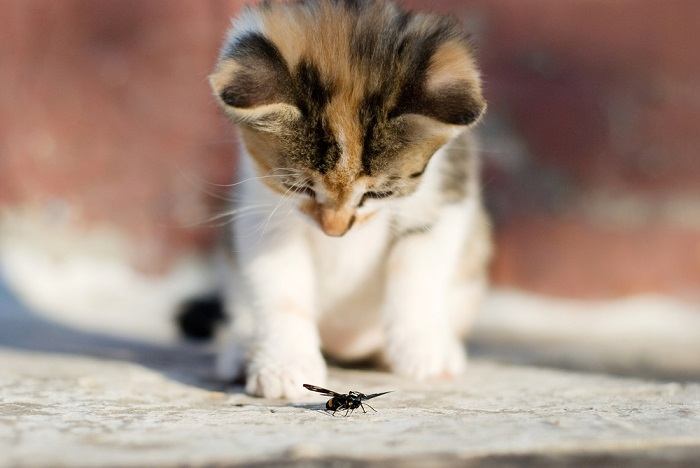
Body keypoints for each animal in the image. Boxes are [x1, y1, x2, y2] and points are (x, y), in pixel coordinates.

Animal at [211, 0, 490, 398]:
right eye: (302, 188)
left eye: (377, 193)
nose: (335, 230)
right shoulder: (259, 206)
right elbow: (280, 287)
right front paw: (284, 366)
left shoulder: (448, 192)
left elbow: (419, 268)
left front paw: (423, 351)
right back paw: (238, 352)